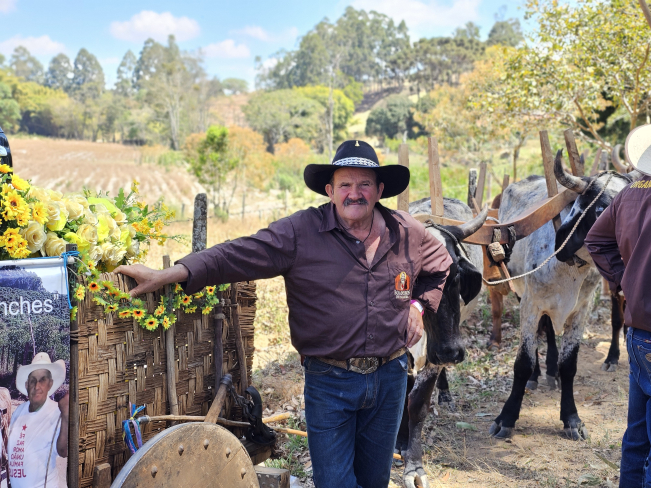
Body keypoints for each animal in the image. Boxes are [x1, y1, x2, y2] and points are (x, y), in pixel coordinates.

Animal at [396, 197, 486, 488]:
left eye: (455, 275)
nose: (451, 352)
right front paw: (400, 443)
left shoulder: (431, 361)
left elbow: (417, 405)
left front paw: (414, 465)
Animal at [489, 150, 634, 441]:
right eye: (601, 210)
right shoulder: (531, 305)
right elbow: (523, 361)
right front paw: (506, 418)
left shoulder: (581, 310)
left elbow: (570, 366)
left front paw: (571, 419)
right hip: (522, 294)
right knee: (540, 335)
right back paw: (538, 375)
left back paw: (551, 371)